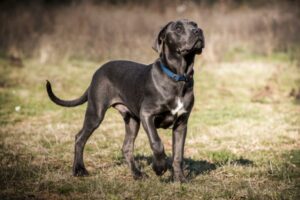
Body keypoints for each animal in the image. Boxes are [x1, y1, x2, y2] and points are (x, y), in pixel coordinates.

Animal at [47, 19, 205, 182]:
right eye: (178, 28)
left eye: (195, 24)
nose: (198, 31)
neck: (178, 77)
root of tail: (97, 72)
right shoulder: (147, 114)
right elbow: (157, 142)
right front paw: (159, 167)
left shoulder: (181, 123)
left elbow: (178, 154)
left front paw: (180, 179)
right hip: (96, 113)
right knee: (80, 138)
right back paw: (79, 170)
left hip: (132, 120)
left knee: (126, 147)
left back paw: (137, 174)